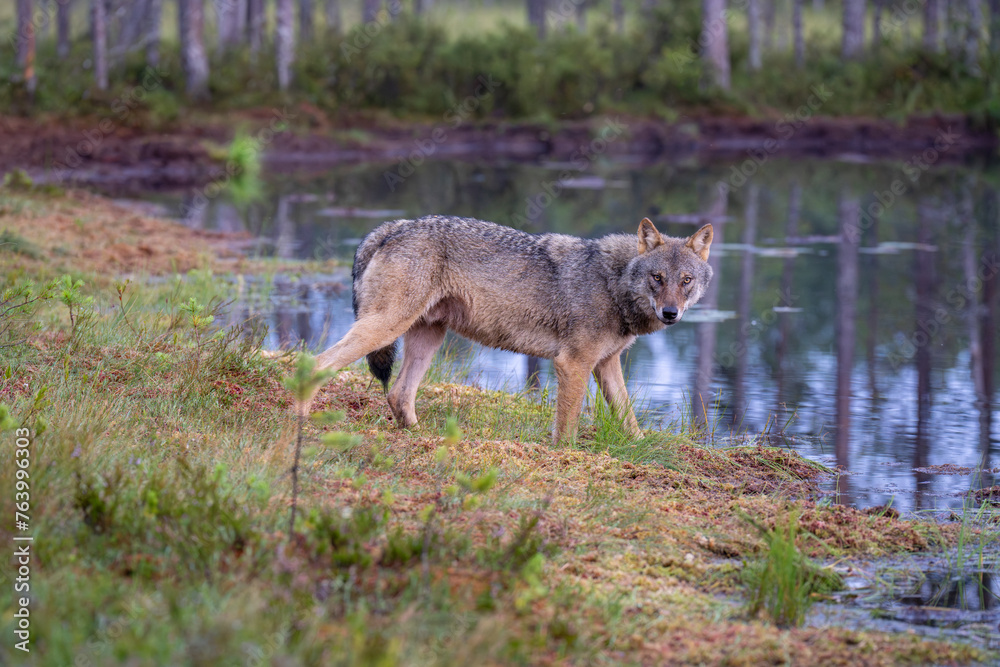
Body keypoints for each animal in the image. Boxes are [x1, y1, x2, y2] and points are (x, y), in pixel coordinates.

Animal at [316, 214, 716, 444]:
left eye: (686, 280)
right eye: (657, 278)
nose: (670, 313)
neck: (612, 282)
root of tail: (390, 227)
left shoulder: (606, 364)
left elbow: (629, 418)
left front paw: (639, 446)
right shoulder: (573, 364)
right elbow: (567, 426)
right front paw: (567, 456)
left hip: (428, 336)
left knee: (399, 394)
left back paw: (424, 438)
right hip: (384, 328)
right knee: (319, 364)